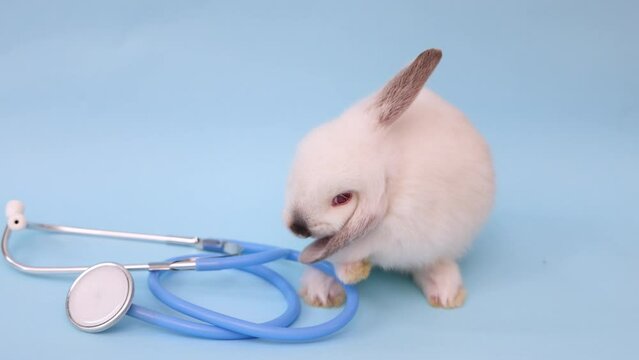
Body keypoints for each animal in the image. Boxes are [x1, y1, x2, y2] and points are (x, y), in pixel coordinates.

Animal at [284, 49, 496, 310]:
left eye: (342, 198)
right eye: (295, 176)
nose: (298, 227)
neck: (390, 181)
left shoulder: (393, 234)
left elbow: (358, 249)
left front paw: (351, 272)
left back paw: (446, 293)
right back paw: (321, 292)